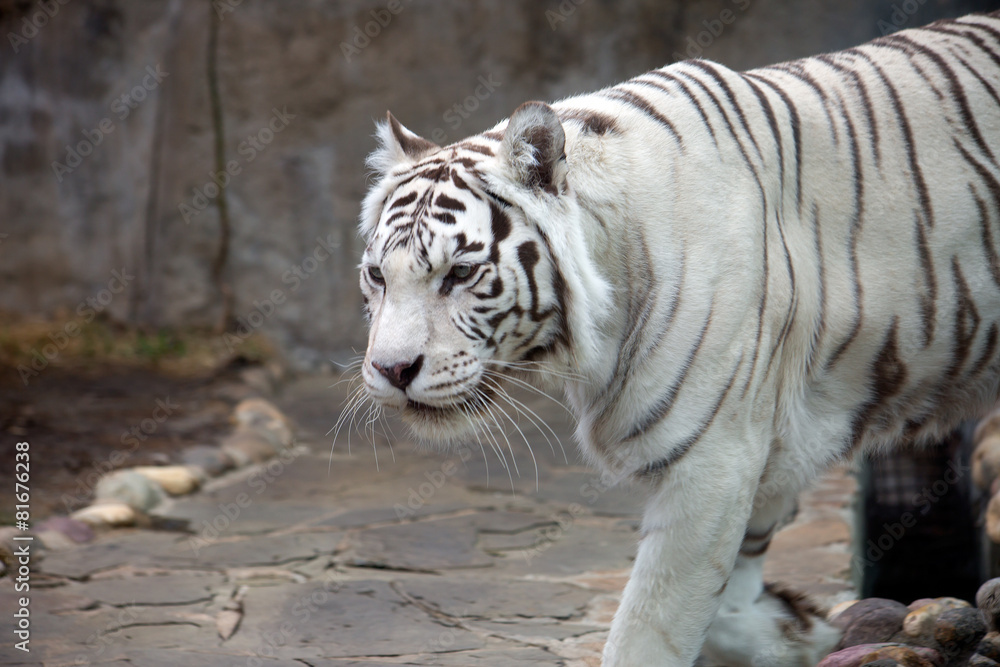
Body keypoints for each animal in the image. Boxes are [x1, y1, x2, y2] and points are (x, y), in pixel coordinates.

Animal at [355, 10, 1000, 667]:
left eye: (461, 272)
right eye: (377, 275)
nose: (392, 370)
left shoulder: (715, 456)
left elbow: (650, 626)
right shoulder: (768, 444)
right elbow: (722, 600)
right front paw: (792, 632)